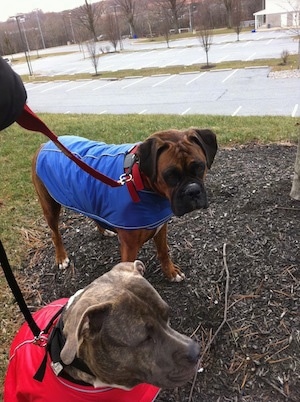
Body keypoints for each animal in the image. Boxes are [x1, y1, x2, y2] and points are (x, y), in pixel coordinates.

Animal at [31, 127, 217, 282]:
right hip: (50, 206)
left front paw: (170, 272)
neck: (139, 179)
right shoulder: (129, 248)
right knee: (55, 233)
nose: (193, 191)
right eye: (170, 175)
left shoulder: (160, 227)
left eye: (200, 167)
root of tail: (44, 144)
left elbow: (164, 252)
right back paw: (61, 257)